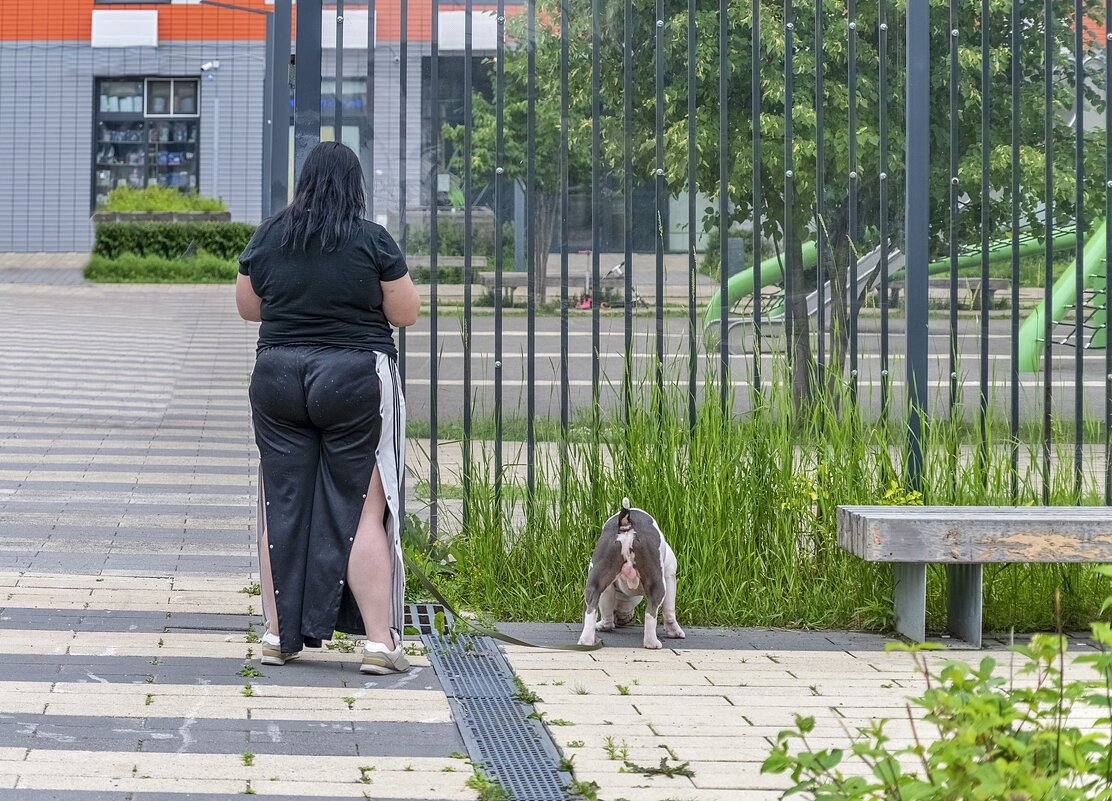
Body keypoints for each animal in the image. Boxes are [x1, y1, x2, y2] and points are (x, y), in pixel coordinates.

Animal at [578, 498, 680, 649]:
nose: (621, 619)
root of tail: (626, 522)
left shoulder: (608, 588)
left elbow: (606, 609)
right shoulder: (669, 576)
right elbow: (669, 610)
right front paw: (675, 631)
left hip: (596, 577)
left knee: (591, 608)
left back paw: (586, 640)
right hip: (657, 581)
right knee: (651, 612)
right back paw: (652, 643)